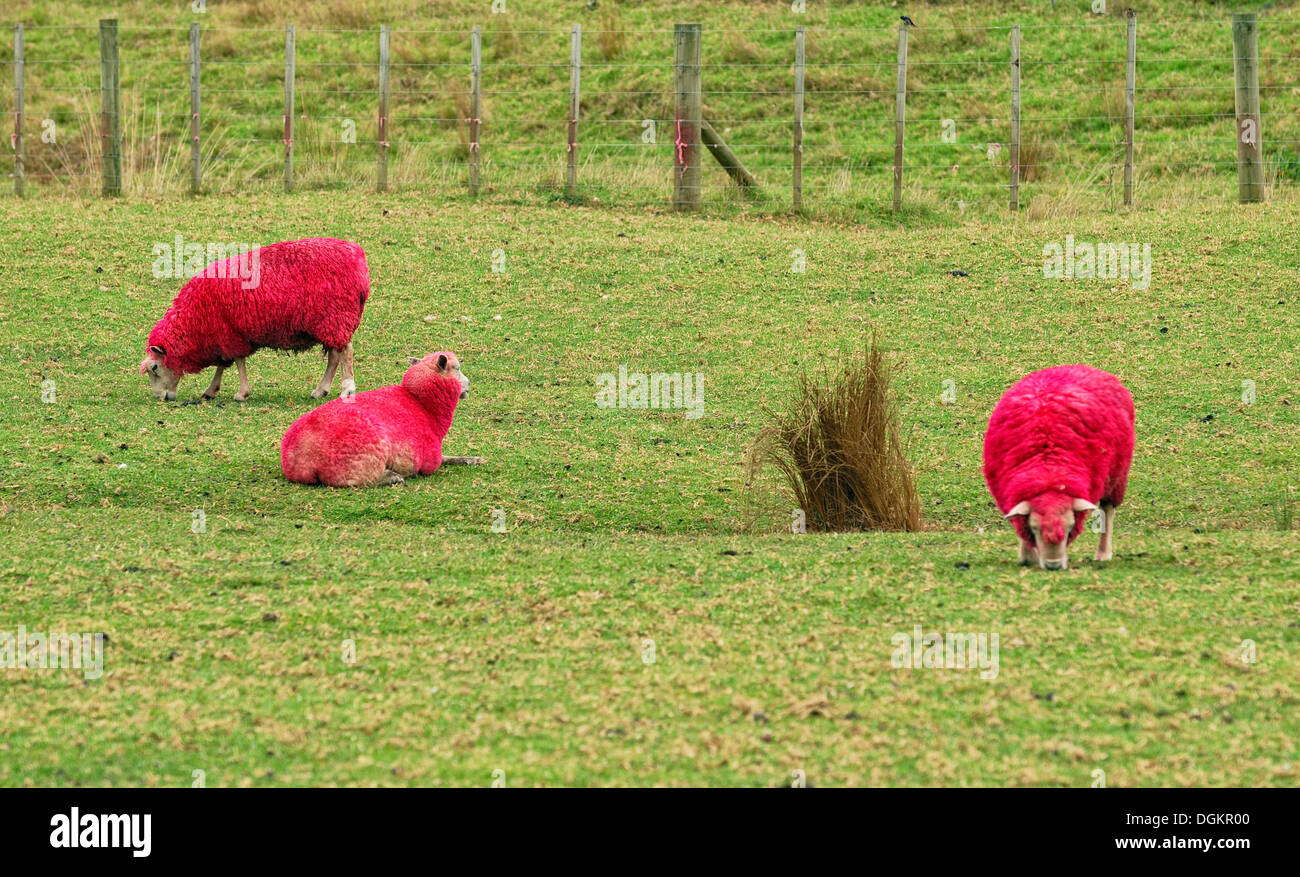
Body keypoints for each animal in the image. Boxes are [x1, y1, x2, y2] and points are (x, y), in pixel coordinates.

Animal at [137, 240, 369, 405]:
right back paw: (321, 390)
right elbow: (223, 363)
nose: (160, 398)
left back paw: (347, 389)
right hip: (331, 322)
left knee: (345, 352)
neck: (193, 321)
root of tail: (359, 262)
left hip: (336, 316)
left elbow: (238, 361)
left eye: (155, 367)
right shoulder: (223, 335)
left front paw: (241, 393)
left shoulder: (231, 334)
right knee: (334, 356)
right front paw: (211, 390)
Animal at [279, 350, 478, 485]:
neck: (422, 405)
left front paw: (471, 459)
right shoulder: (429, 458)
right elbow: (443, 459)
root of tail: (302, 463)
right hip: (361, 463)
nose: (469, 384)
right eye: (457, 368)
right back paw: (392, 477)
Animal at [977, 363, 1133, 569]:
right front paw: (1027, 556)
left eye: (1070, 527)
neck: (1048, 473)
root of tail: (1081, 366)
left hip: (1116, 475)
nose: (1054, 565)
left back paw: (1103, 553)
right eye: (1034, 528)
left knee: (1107, 511)